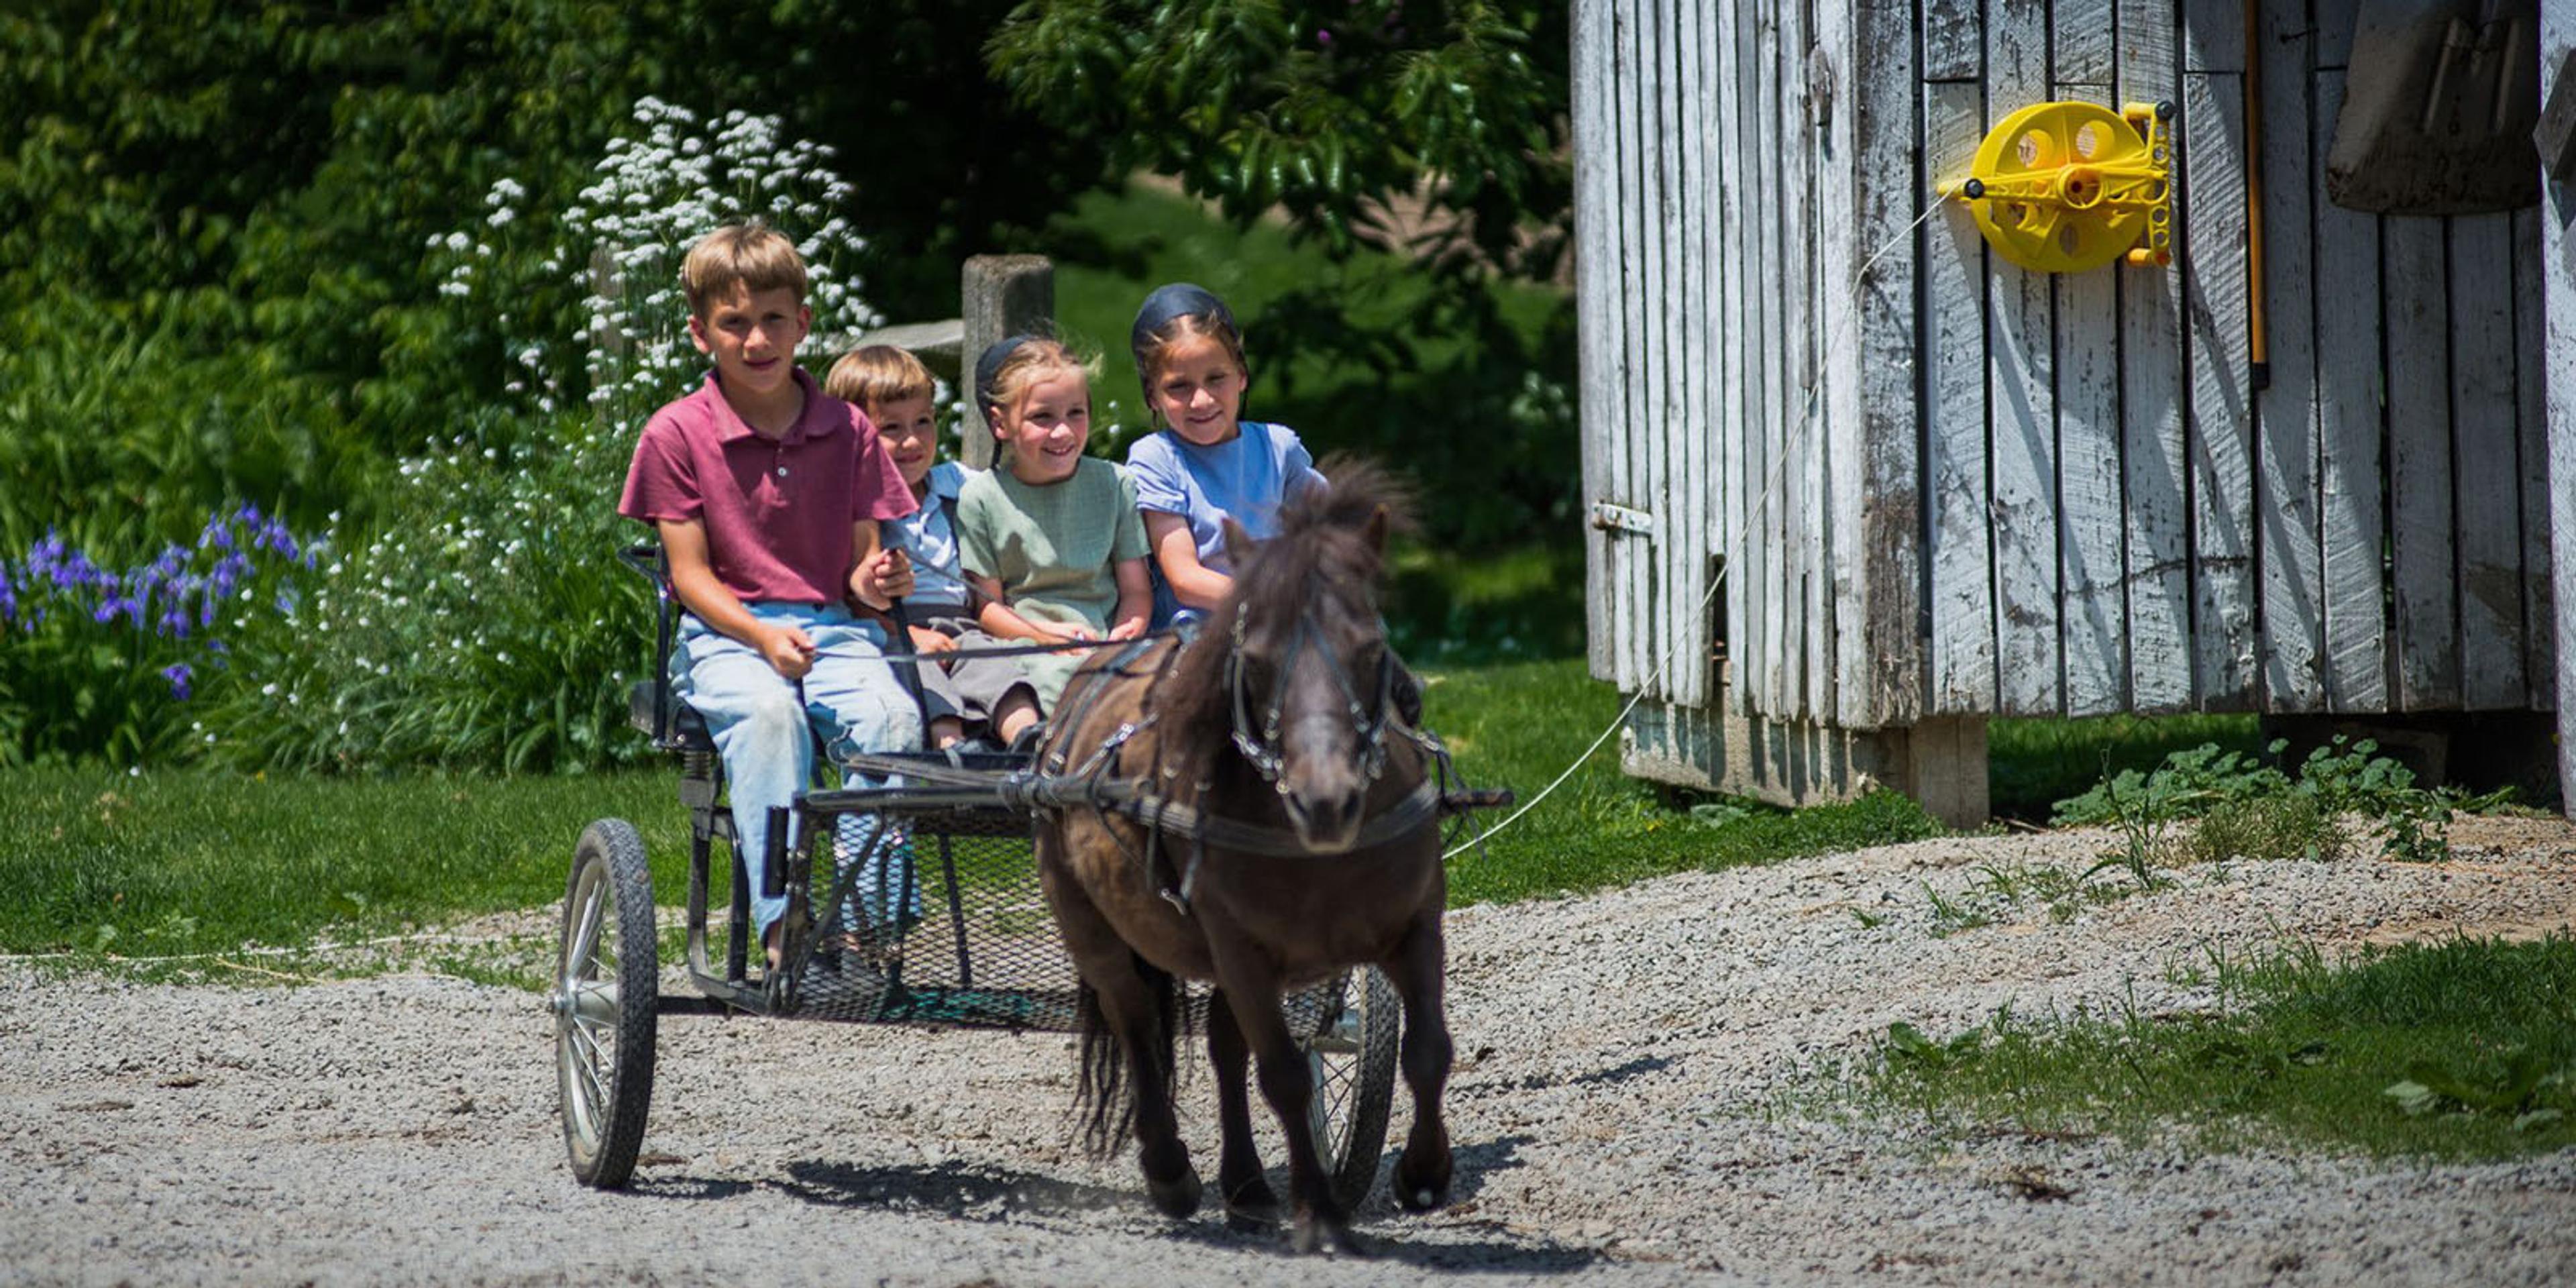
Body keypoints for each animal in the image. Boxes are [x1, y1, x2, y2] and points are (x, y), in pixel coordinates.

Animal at [1031, 461, 1452, 1253]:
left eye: (1370, 648)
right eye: (1253, 661)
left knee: (1225, 1046)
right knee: (1136, 1024)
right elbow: (1285, 1075)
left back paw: (1248, 1184)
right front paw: (1319, 1211)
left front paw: (1423, 1173)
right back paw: (1170, 1170)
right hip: (1091, 925)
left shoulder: (1415, 928)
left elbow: (1428, 1052)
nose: (1327, 800)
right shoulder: (1241, 951)